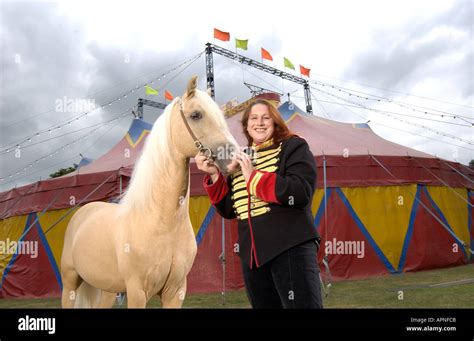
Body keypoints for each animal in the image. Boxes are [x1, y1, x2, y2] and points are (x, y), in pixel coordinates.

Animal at [62, 75, 241, 306]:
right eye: (196, 115)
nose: (235, 159)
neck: (162, 223)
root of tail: (83, 212)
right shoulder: (137, 292)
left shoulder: (176, 291)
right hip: (70, 285)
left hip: (107, 289)